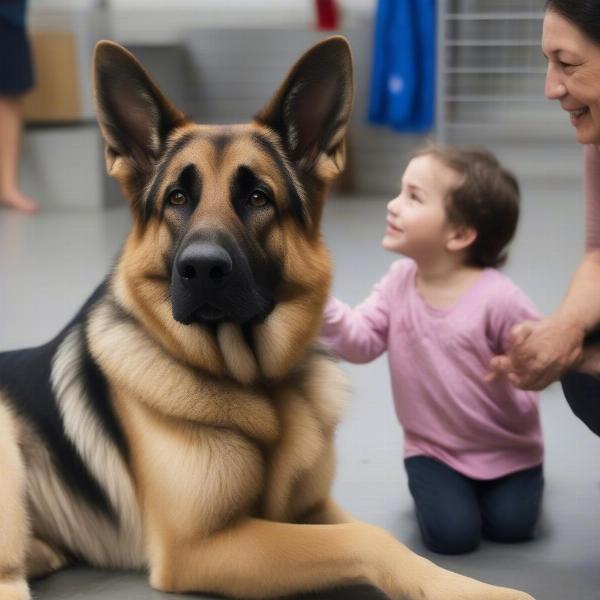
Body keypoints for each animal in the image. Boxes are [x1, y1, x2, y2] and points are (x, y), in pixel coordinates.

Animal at [0, 38, 536, 600]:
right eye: (177, 197)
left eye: (258, 197)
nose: (202, 269)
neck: (258, 386)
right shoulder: (199, 547)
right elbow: (365, 538)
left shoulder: (311, 507)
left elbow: (382, 537)